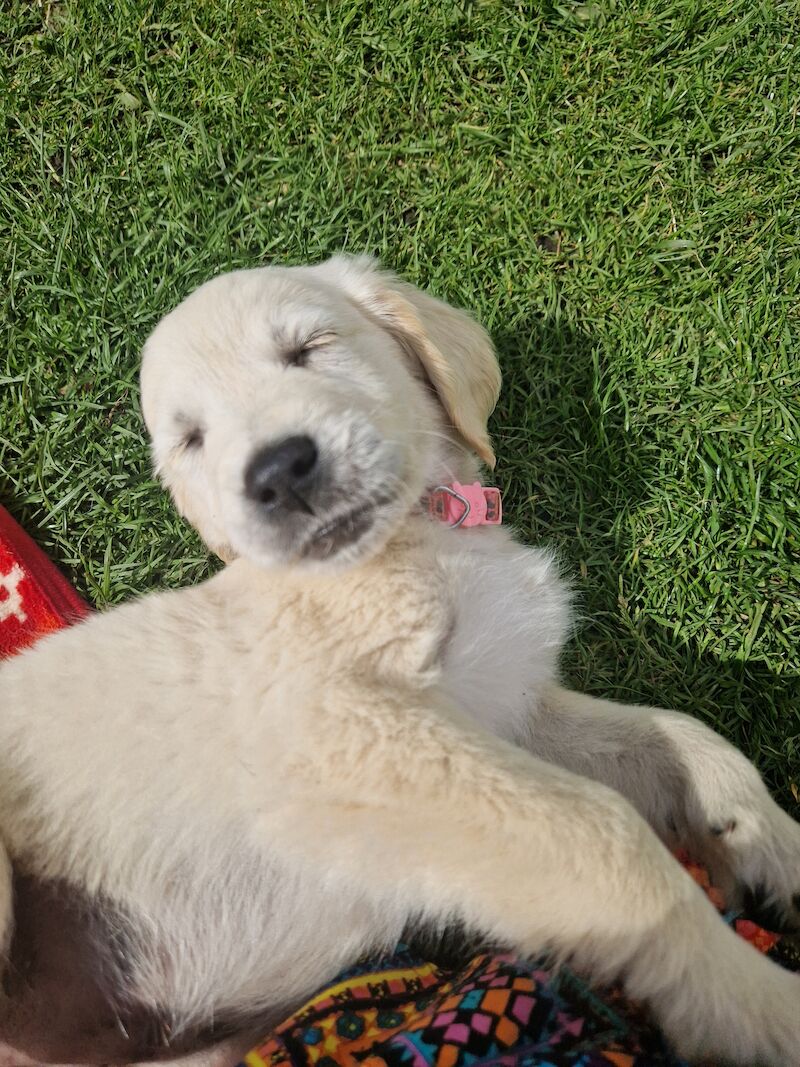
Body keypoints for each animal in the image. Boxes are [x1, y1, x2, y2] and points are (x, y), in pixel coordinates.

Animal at [0, 251, 797, 1067]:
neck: (423, 534)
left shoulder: (501, 706)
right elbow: (607, 830)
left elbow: (677, 738)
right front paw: (759, 1001)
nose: (278, 472)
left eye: (310, 346)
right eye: (192, 438)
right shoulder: (347, 728)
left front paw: (768, 840)